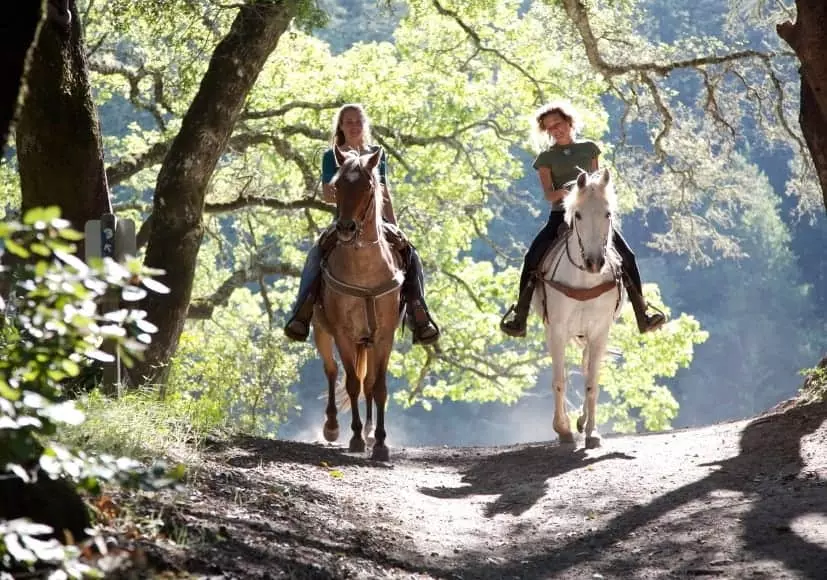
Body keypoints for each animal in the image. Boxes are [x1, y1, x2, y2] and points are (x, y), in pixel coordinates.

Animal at [310, 146, 404, 462]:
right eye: (337, 185)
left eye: (368, 186)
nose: (346, 228)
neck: (364, 273)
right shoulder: (343, 334)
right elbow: (351, 383)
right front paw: (355, 438)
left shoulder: (384, 336)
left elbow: (379, 387)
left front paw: (381, 443)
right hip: (322, 331)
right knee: (331, 371)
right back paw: (332, 427)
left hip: (369, 342)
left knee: (369, 383)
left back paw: (371, 431)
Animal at [532, 168, 624, 448]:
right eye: (579, 215)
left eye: (607, 213)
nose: (595, 262)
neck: (584, 280)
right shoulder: (557, 330)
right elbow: (559, 380)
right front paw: (562, 429)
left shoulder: (600, 332)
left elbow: (592, 382)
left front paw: (592, 433)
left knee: (585, 369)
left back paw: (583, 422)